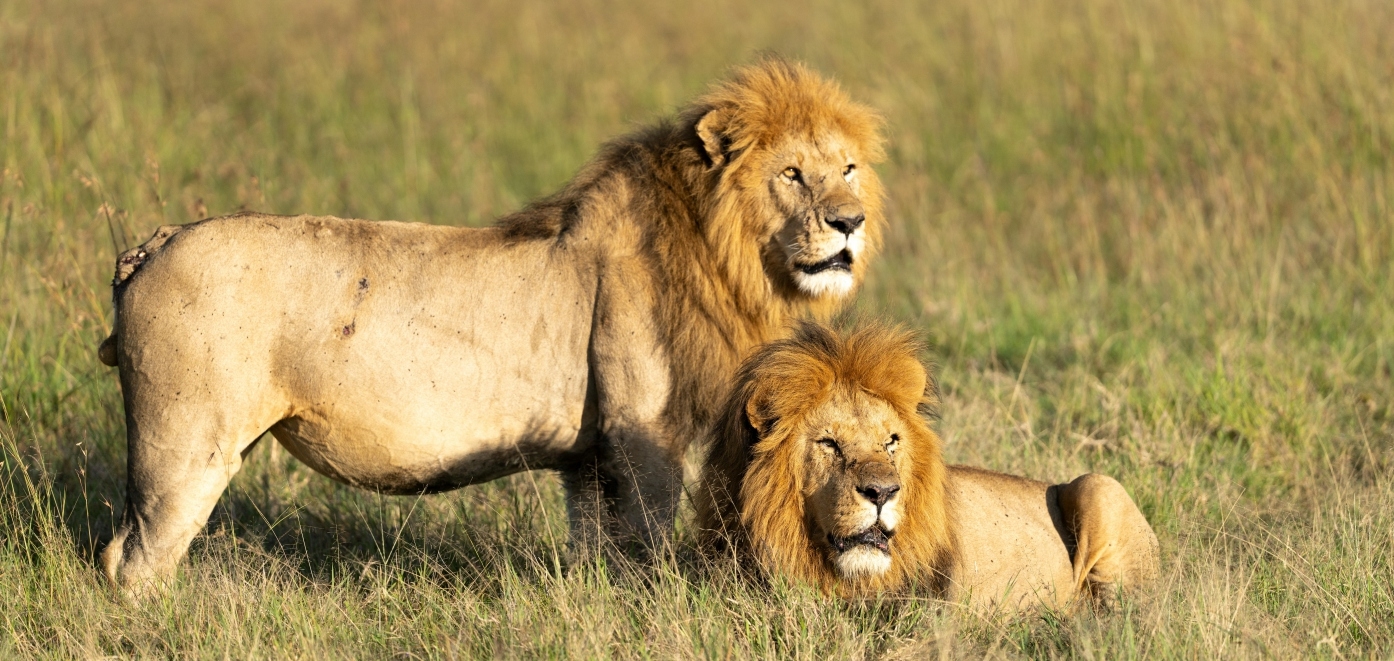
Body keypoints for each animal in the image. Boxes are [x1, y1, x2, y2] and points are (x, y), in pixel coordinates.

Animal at [96, 59, 887, 592]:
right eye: (792, 174)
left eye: (848, 168)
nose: (850, 222)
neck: (722, 250)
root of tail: (152, 243)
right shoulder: (644, 435)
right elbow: (650, 546)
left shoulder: (590, 458)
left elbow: (598, 551)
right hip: (185, 443)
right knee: (130, 559)